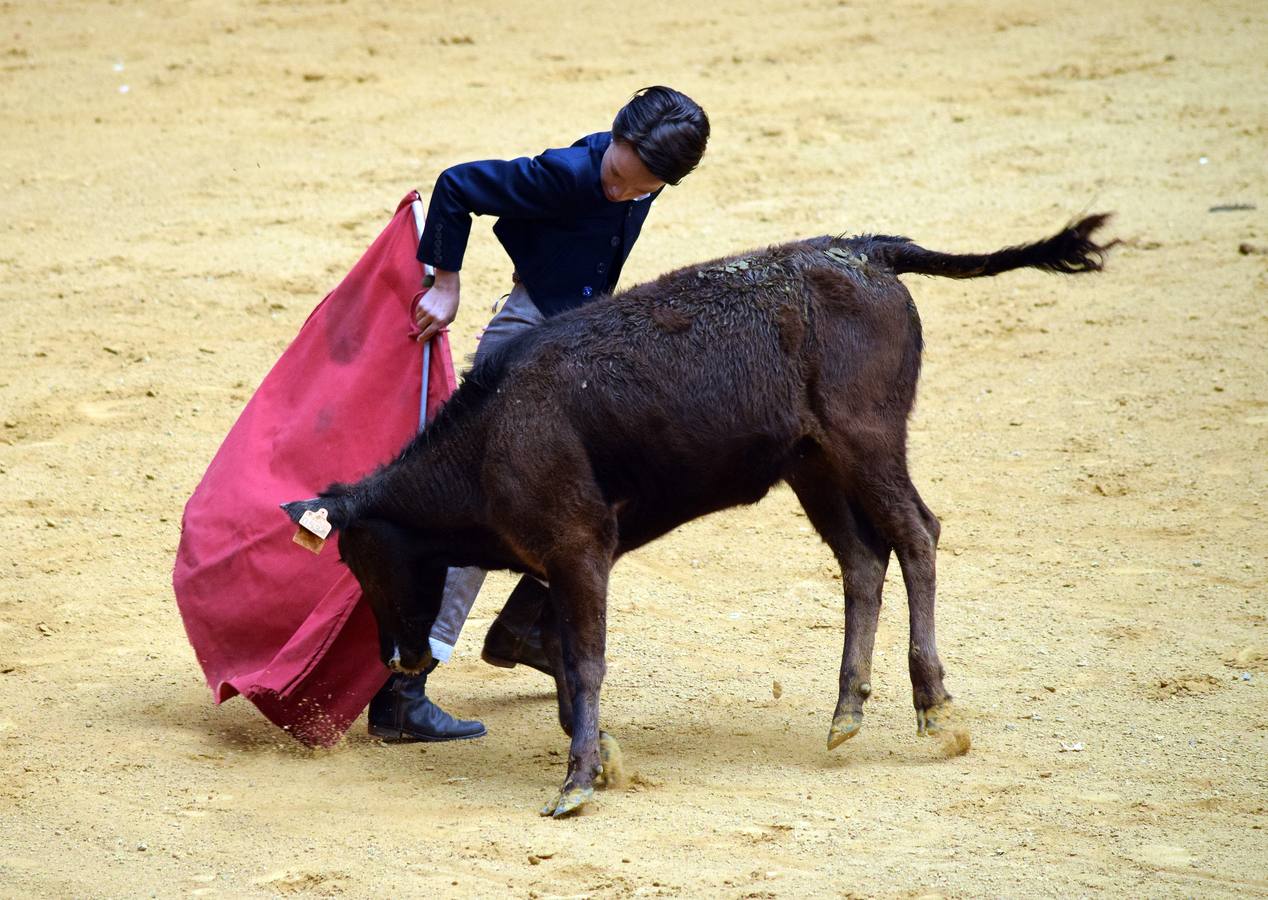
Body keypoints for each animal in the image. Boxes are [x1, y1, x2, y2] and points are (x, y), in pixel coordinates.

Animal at [285, 216, 1110, 816]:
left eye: (361, 559)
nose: (399, 657)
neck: (493, 436)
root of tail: (863, 248)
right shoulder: (567, 561)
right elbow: (565, 660)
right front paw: (600, 759)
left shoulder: (579, 548)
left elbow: (585, 663)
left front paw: (575, 783)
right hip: (813, 463)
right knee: (861, 558)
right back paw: (846, 712)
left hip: (867, 438)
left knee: (915, 534)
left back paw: (934, 707)